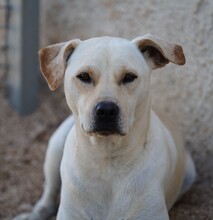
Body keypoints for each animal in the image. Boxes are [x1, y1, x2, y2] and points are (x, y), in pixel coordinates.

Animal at [14, 34, 196, 220]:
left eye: (129, 77)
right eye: (84, 76)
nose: (107, 110)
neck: (106, 159)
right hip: (56, 145)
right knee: (48, 195)